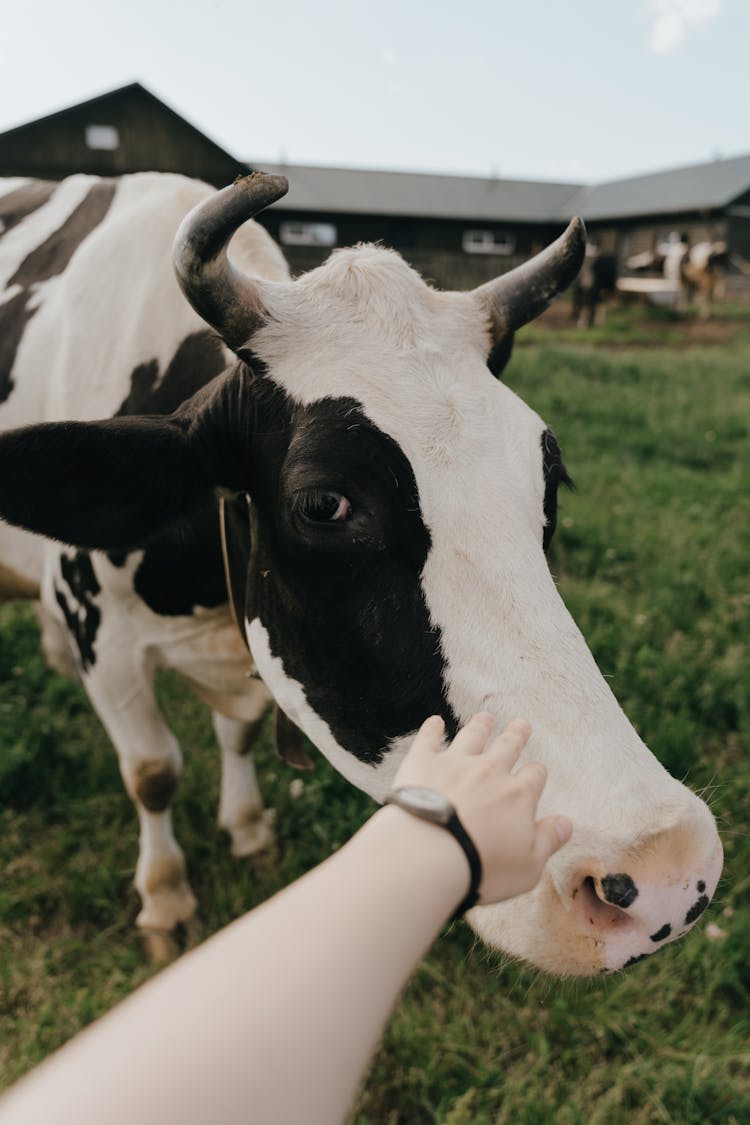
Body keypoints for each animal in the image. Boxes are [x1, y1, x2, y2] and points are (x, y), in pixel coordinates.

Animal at [1, 173, 728, 976]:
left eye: (551, 478)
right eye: (324, 504)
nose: (666, 871)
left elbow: (238, 735)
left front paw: (247, 827)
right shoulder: (105, 639)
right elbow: (153, 771)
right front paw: (165, 898)